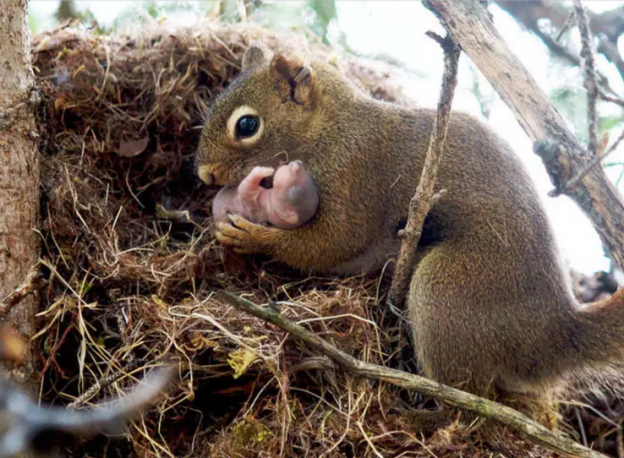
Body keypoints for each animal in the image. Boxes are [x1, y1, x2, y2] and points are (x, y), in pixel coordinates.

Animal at [197, 41, 624, 400]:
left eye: (247, 125)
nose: (204, 175)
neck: (330, 129)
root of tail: (555, 334)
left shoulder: (356, 173)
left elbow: (331, 242)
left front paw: (252, 235)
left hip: (448, 289)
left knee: (466, 396)